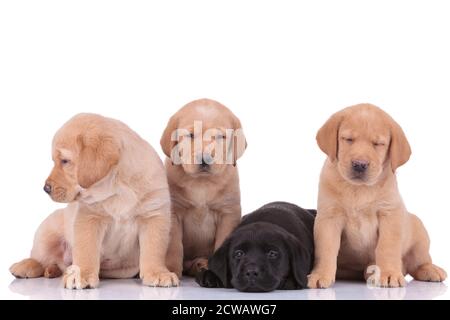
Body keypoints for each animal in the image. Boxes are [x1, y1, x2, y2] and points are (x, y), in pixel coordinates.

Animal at [8, 114, 178, 288]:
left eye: (65, 161)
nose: (45, 188)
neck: (118, 190)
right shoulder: (88, 219)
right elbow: (86, 250)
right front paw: (81, 274)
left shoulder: (153, 216)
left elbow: (154, 250)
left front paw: (158, 273)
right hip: (46, 231)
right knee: (40, 258)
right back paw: (24, 266)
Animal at [161, 98, 248, 278]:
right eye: (191, 135)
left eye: (221, 136)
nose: (205, 158)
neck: (202, 183)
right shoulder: (174, 212)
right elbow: (174, 246)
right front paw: (171, 270)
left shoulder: (228, 214)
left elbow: (222, 242)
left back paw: (200, 264)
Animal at [310, 104, 446, 288]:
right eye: (348, 139)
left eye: (378, 144)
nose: (360, 164)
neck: (359, 189)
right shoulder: (328, 217)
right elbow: (326, 248)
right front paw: (321, 274)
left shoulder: (389, 214)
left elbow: (387, 247)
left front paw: (388, 274)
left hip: (419, 232)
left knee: (418, 263)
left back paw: (429, 270)